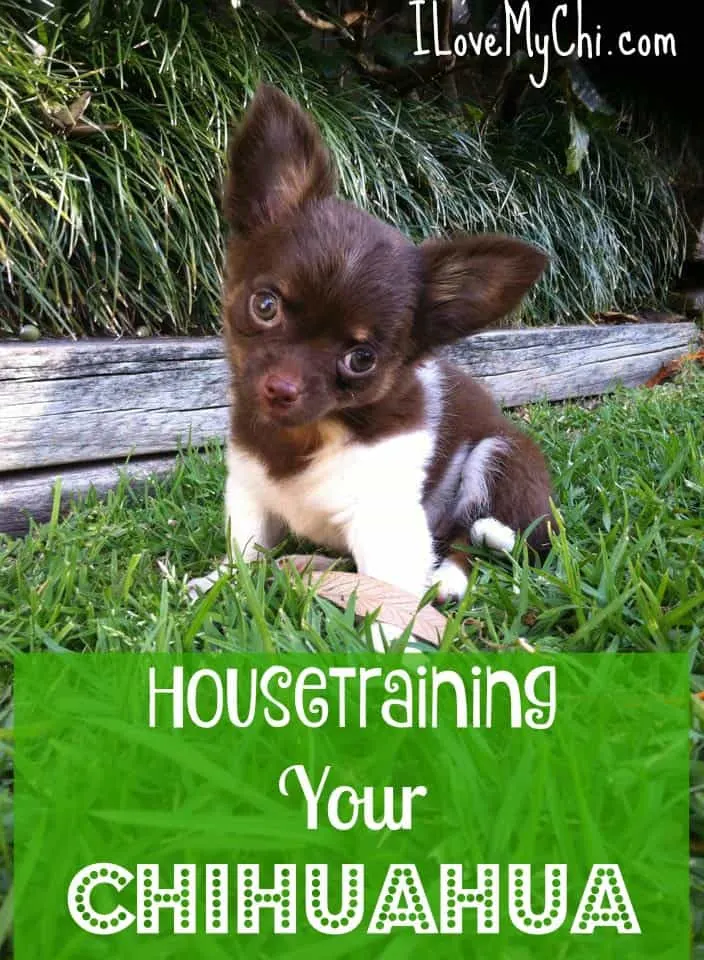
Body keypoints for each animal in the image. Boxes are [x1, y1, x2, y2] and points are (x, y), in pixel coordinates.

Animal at [191, 84, 552, 608]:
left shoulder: (385, 520)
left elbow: (389, 594)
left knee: (472, 538)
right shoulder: (251, 493)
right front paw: (216, 584)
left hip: (500, 459)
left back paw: (447, 578)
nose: (280, 389)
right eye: (265, 306)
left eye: (361, 359)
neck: (309, 435)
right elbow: (245, 554)